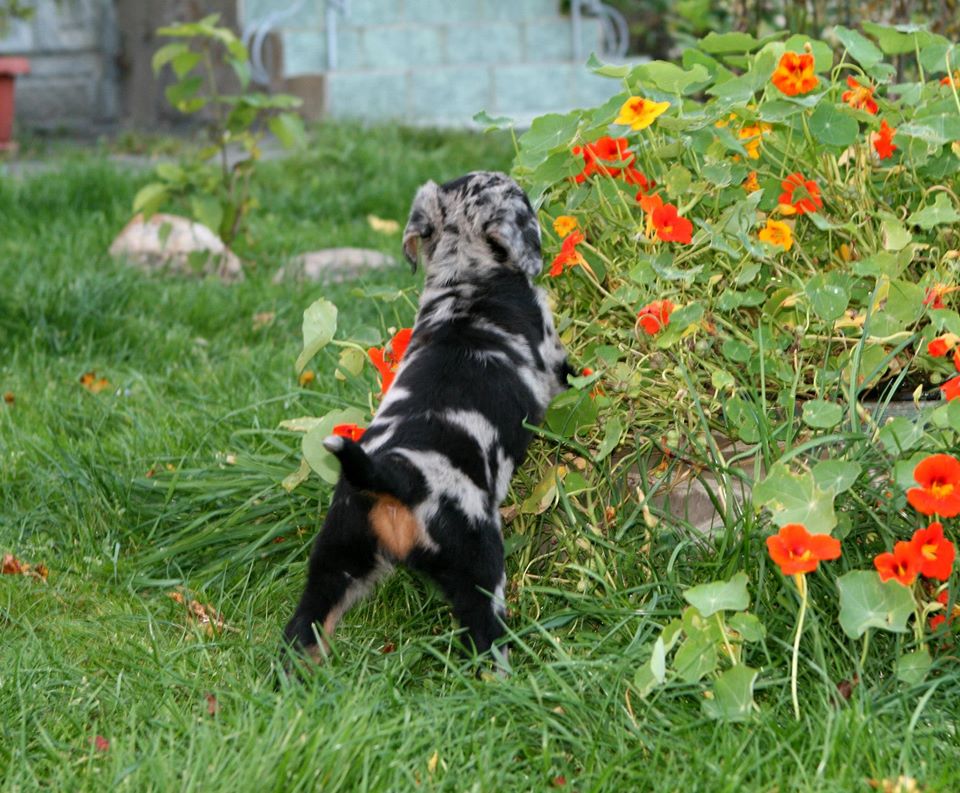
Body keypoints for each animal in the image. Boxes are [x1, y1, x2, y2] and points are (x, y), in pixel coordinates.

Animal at [282, 170, 572, 660]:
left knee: (303, 628)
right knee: (485, 639)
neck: (467, 278)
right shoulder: (553, 359)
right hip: (478, 565)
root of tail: (391, 477)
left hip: (336, 557)